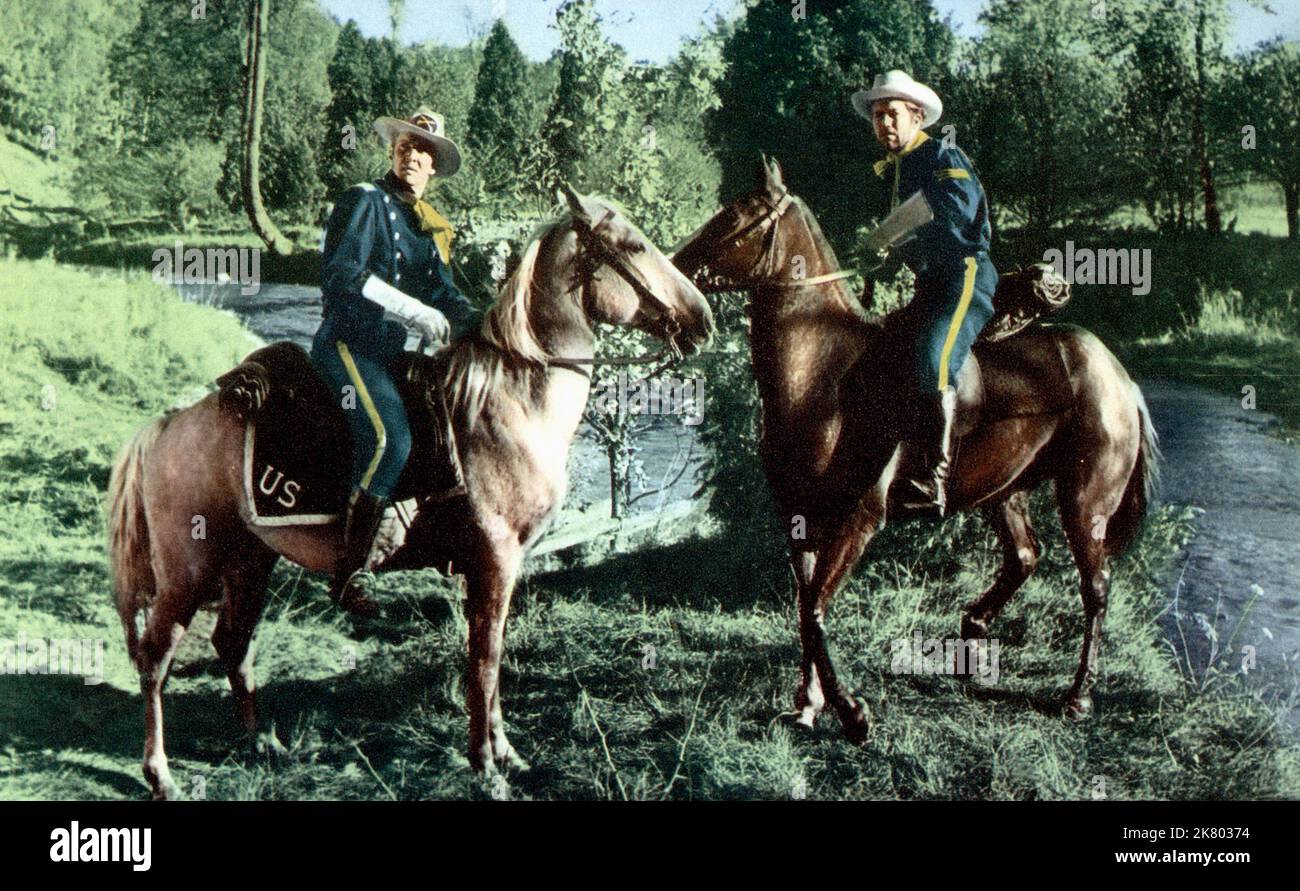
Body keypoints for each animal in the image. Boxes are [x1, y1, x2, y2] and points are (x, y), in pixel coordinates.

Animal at [109, 189, 722, 801]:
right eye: (634, 245)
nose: (703, 319)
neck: (511, 403)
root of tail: (166, 426)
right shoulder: (495, 560)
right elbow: (485, 661)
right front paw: (486, 765)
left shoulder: (501, 567)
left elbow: (491, 656)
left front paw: (506, 753)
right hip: (188, 574)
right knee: (156, 659)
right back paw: (161, 774)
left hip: (250, 560)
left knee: (233, 644)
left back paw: (261, 744)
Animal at [670, 161, 1159, 744]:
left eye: (736, 216)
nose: (675, 272)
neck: (824, 374)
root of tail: (1119, 376)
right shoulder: (800, 520)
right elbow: (805, 609)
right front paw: (809, 705)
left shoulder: (858, 520)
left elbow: (814, 612)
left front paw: (852, 713)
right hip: (1006, 491)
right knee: (1024, 556)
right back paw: (972, 632)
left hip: (1085, 504)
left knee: (1095, 588)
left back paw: (1078, 697)